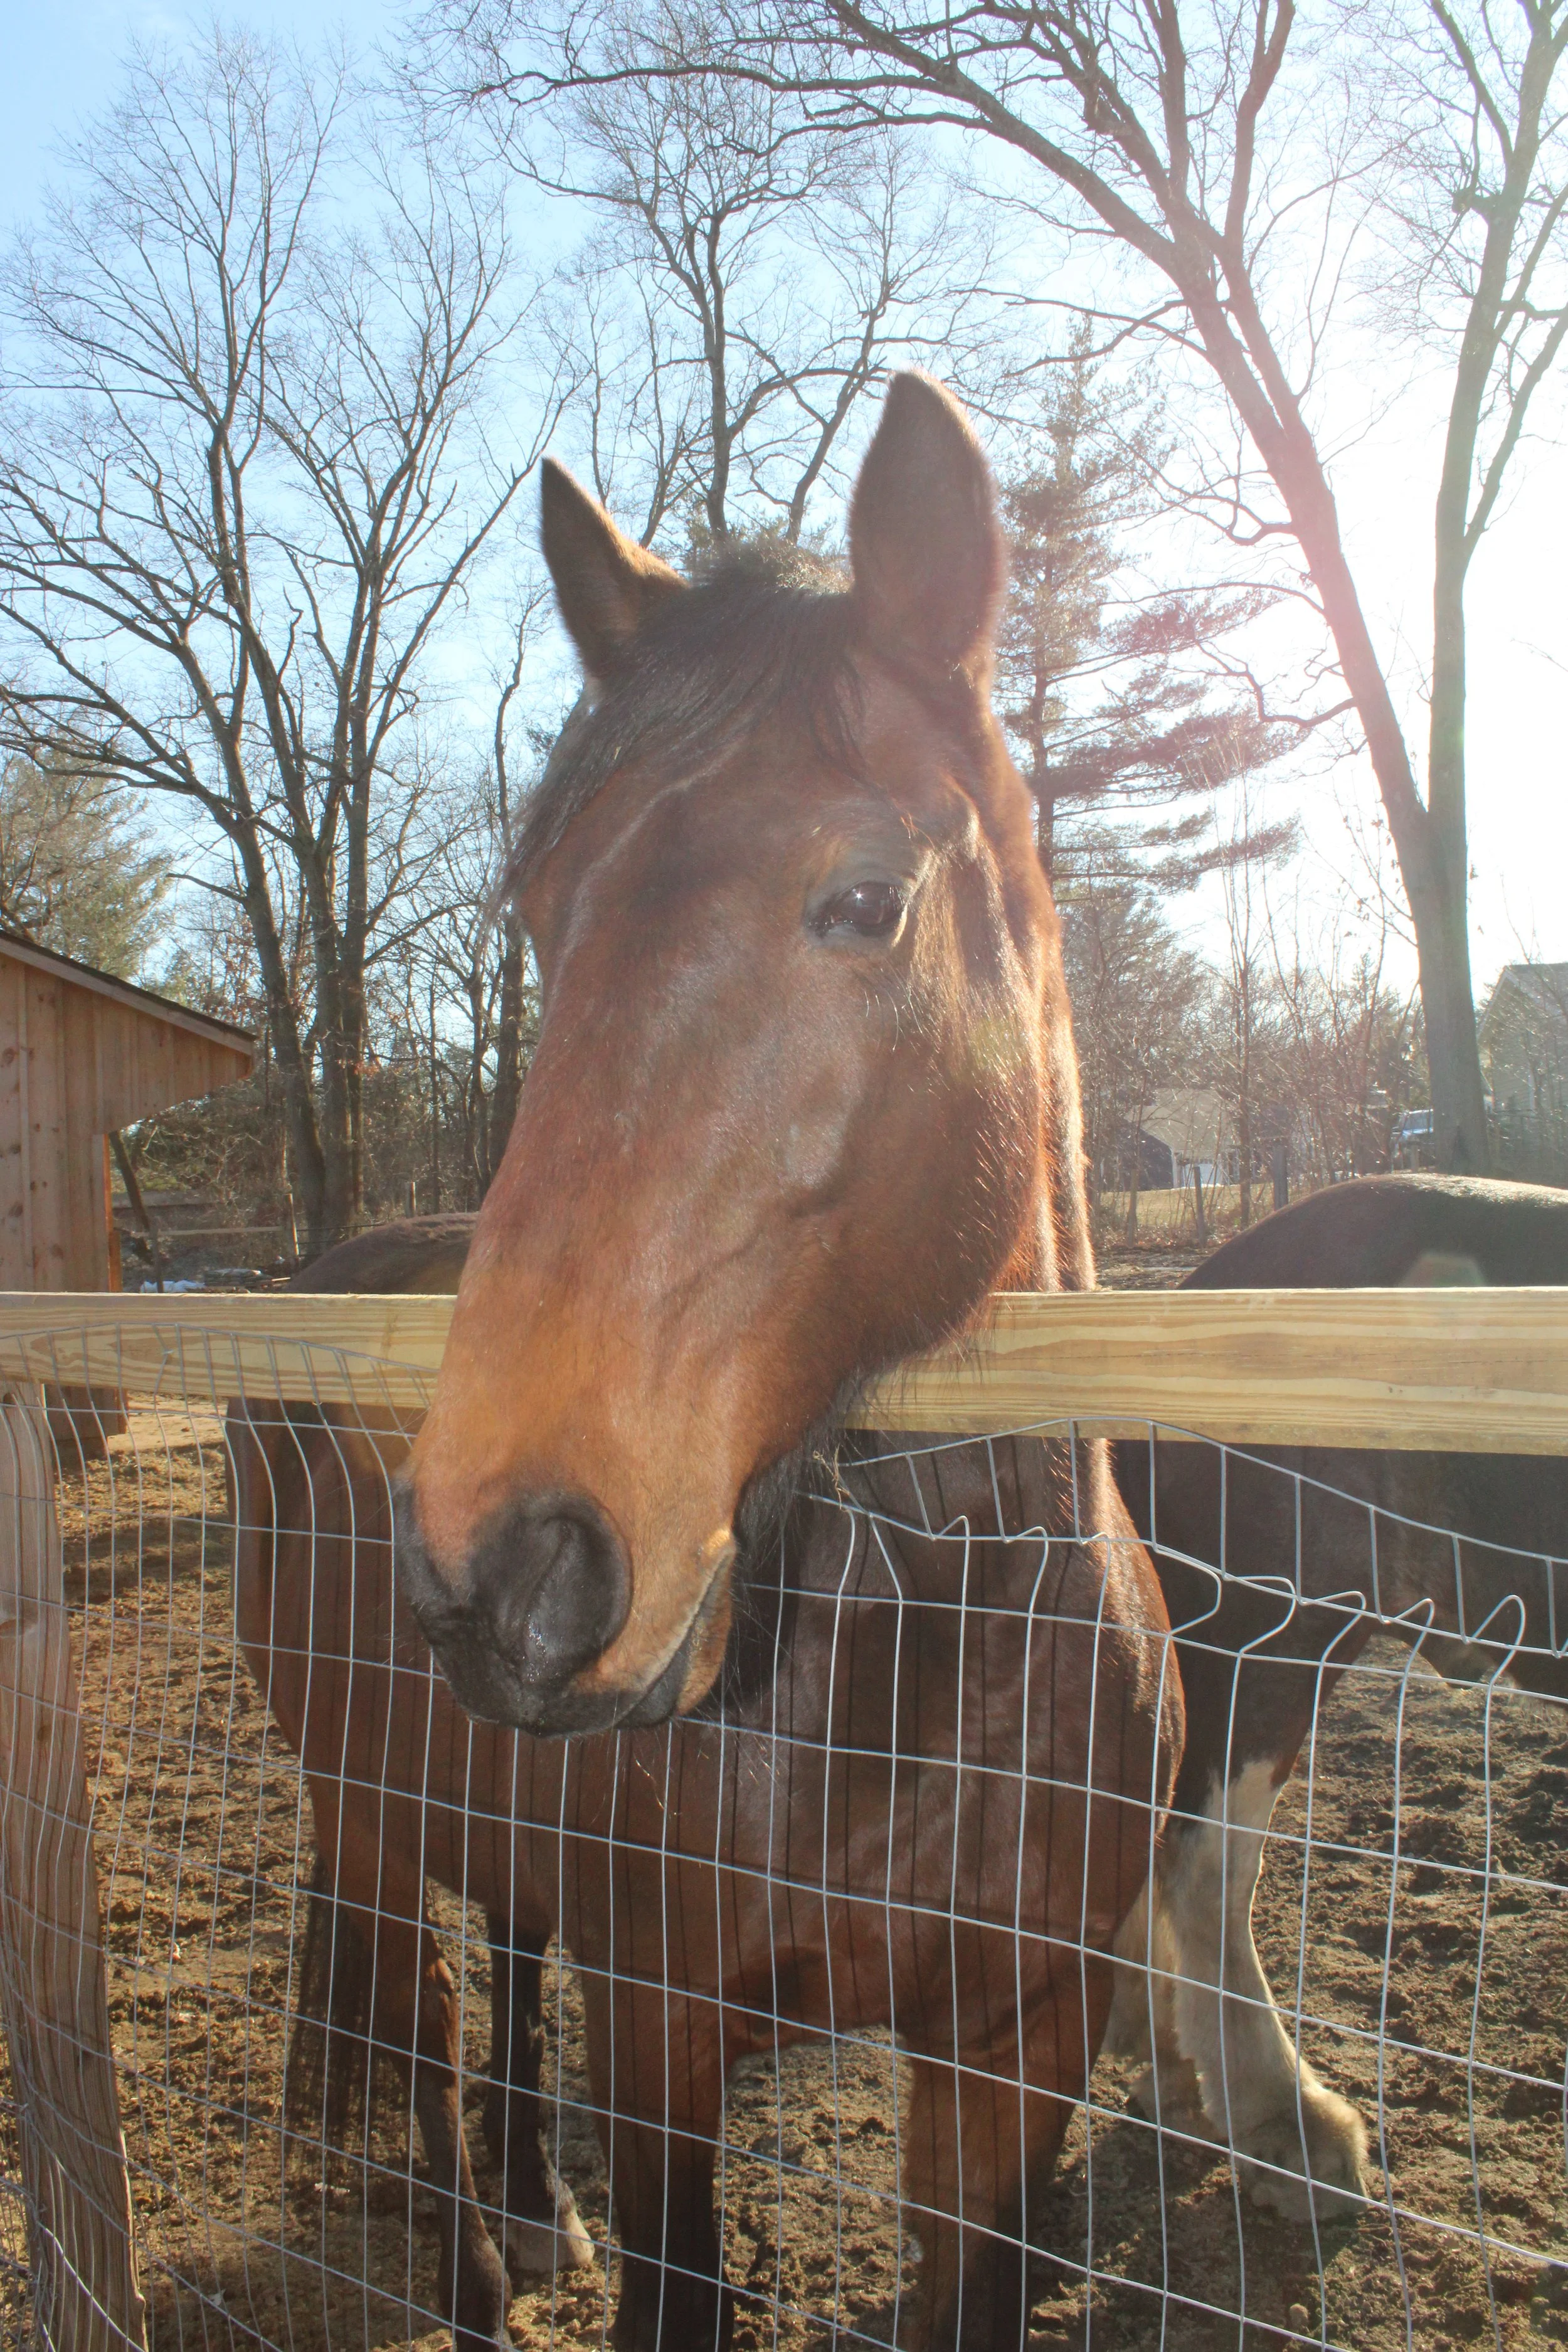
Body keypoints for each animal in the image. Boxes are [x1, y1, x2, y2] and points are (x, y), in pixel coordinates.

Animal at [231, 372, 1181, 2352]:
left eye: (866, 898)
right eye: (542, 912)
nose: (500, 1554)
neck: (928, 1673)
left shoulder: (1019, 2047)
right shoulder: (669, 2029)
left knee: (503, 1967)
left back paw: (532, 2207)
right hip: (365, 1808)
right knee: (420, 2034)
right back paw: (471, 2262)